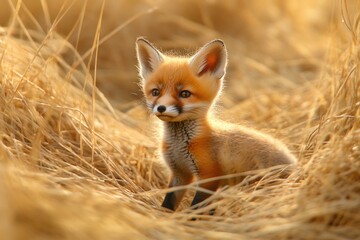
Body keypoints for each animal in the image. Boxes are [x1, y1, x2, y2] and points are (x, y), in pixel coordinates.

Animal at [134, 37, 296, 212]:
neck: (180, 145)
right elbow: (169, 202)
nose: (161, 108)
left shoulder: (209, 177)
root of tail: (294, 161)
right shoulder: (179, 174)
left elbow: (197, 208)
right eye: (156, 92)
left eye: (185, 94)